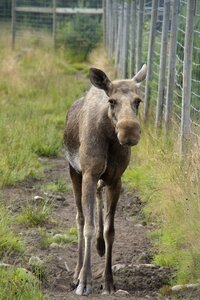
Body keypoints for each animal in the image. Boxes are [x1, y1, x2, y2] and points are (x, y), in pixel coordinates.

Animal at [64, 63, 147, 296]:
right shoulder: (89, 175)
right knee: (80, 218)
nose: (129, 132)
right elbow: (89, 227)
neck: (109, 137)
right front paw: (84, 281)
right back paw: (76, 272)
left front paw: (108, 281)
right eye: (112, 101)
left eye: (138, 100)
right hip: (74, 172)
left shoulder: (115, 179)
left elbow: (110, 231)